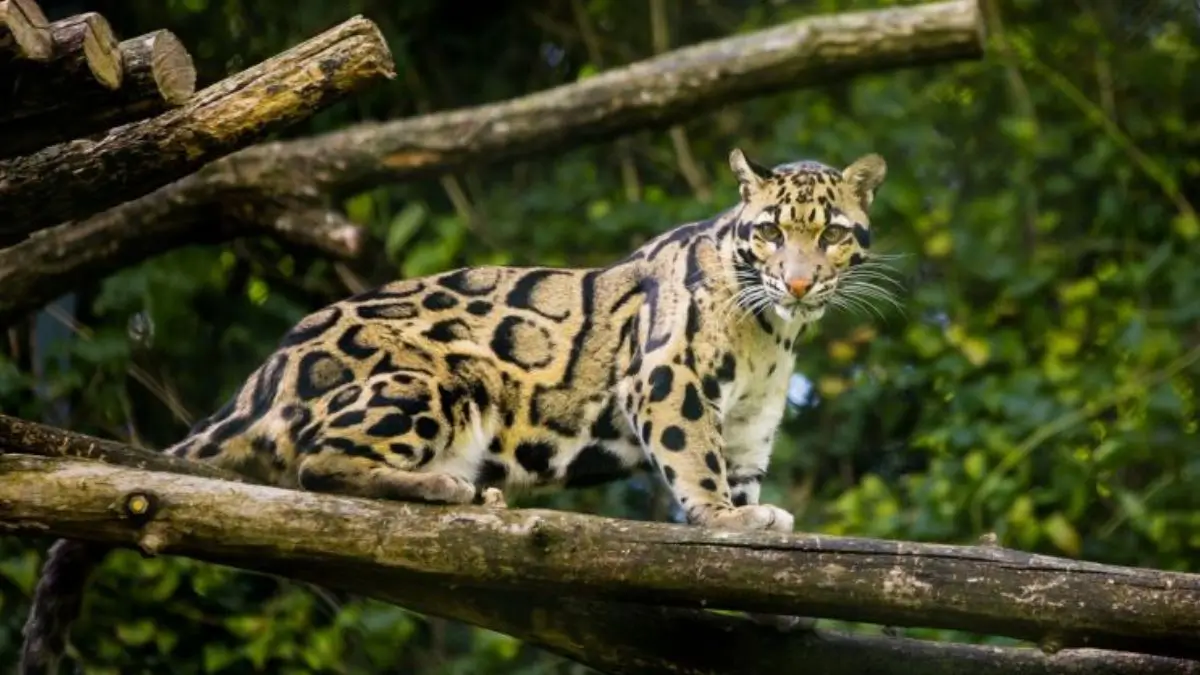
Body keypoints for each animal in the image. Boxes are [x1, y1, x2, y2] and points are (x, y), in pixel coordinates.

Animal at [19, 147, 887, 674]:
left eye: (831, 235)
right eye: (769, 231)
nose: (799, 280)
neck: (775, 331)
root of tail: (258, 381)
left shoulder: (750, 424)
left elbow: (736, 487)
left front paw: (764, 578)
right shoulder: (666, 377)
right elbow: (696, 468)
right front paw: (726, 522)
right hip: (435, 382)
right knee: (313, 463)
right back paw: (445, 487)